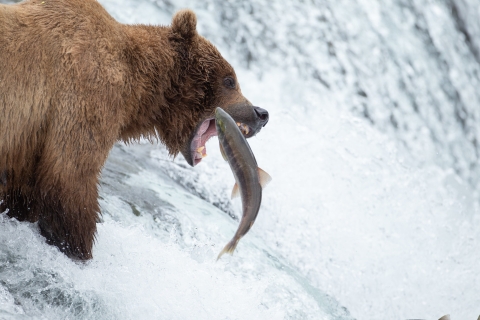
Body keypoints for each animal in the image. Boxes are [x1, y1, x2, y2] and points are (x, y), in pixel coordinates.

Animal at [0, 0, 270, 260]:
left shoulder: (28, 139)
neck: (137, 90)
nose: (261, 113)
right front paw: (78, 248)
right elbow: (70, 176)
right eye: (229, 80)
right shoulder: (86, 95)